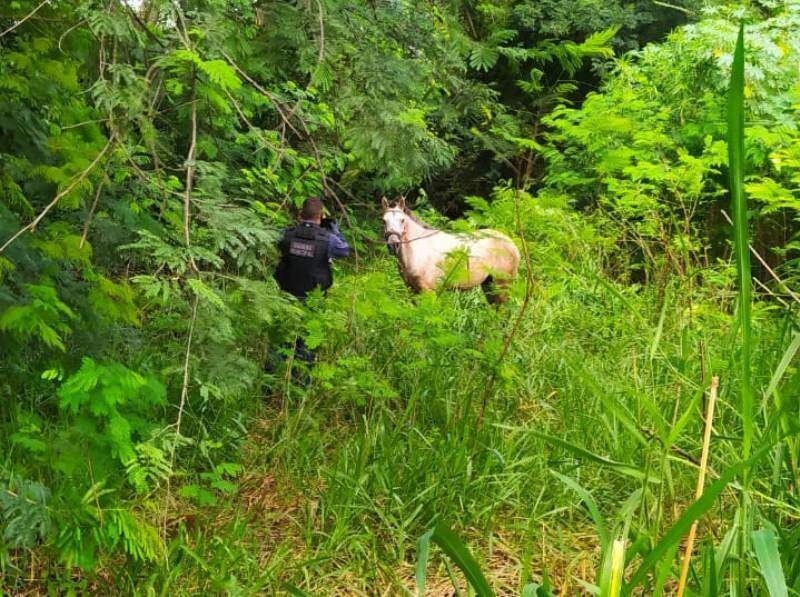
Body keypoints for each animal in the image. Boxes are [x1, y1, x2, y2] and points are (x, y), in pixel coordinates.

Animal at [381, 197, 520, 303]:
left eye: (402, 220)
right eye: (384, 221)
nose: (393, 244)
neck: (417, 252)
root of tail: (511, 243)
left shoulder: (428, 292)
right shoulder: (413, 291)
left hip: (502, 284)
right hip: (490, 285)